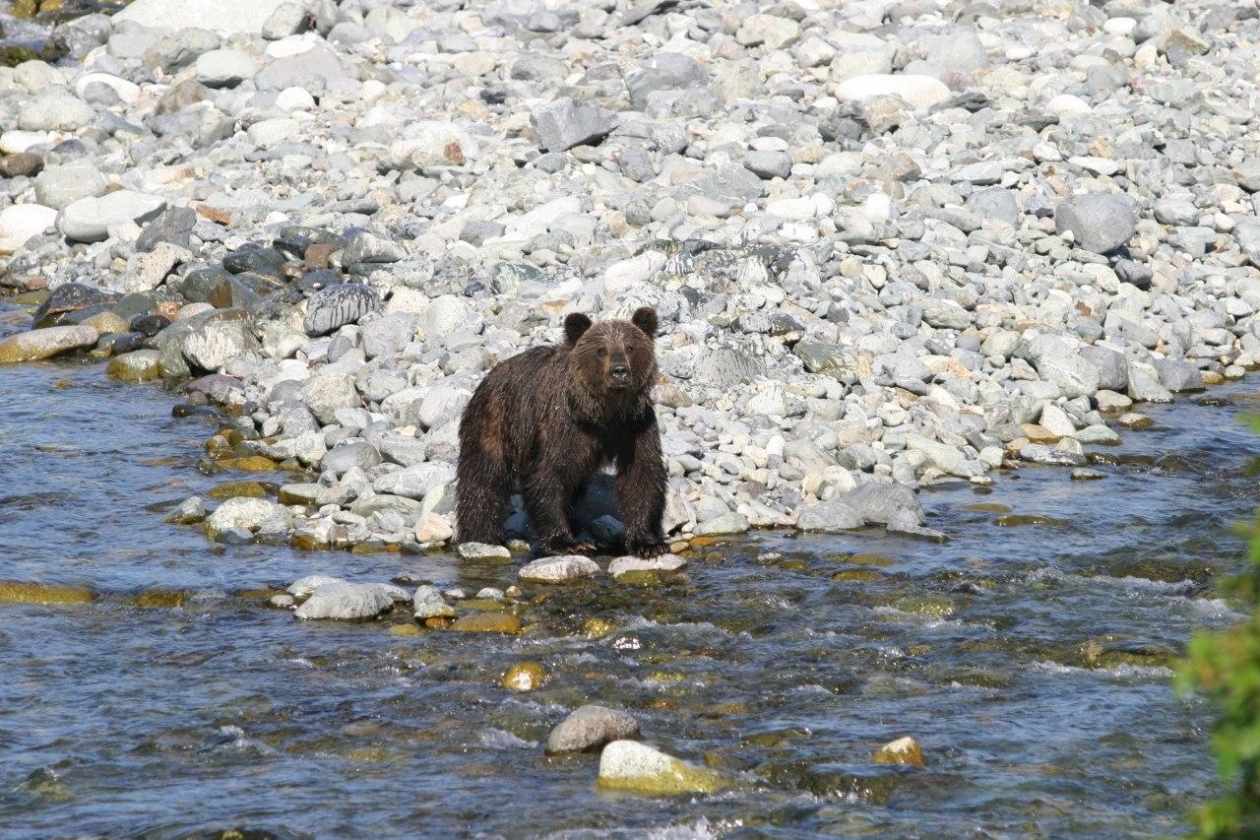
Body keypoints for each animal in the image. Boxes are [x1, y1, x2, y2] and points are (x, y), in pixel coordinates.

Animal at [453, 308, 670, 559]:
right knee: (484, 477)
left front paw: (648, 543)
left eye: (630, 347)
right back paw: (480, 536)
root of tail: (490, 376)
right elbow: (548, 473)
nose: (619, 372)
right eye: (601, 350)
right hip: (495, 420)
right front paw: (565, 542)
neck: (604, 412)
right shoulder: (562, 423)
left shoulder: (635, 425)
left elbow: (642, 473)